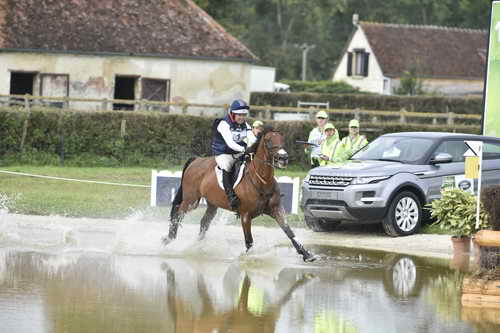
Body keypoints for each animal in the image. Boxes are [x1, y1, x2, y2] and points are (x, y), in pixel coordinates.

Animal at [164, 127, 316, 262]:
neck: (261, 180)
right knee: (178, 214)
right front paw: (247, 258)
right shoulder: (245, 216)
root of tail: (196, 160)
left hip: (212, 204)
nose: (283, 158)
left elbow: (289, 232)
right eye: (268, 141)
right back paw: (170, 239)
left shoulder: (276, 209)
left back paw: (197, 246)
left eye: (282, 140)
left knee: (204, 222)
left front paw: (306, 254)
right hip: (191, 201)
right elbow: (249, 241)